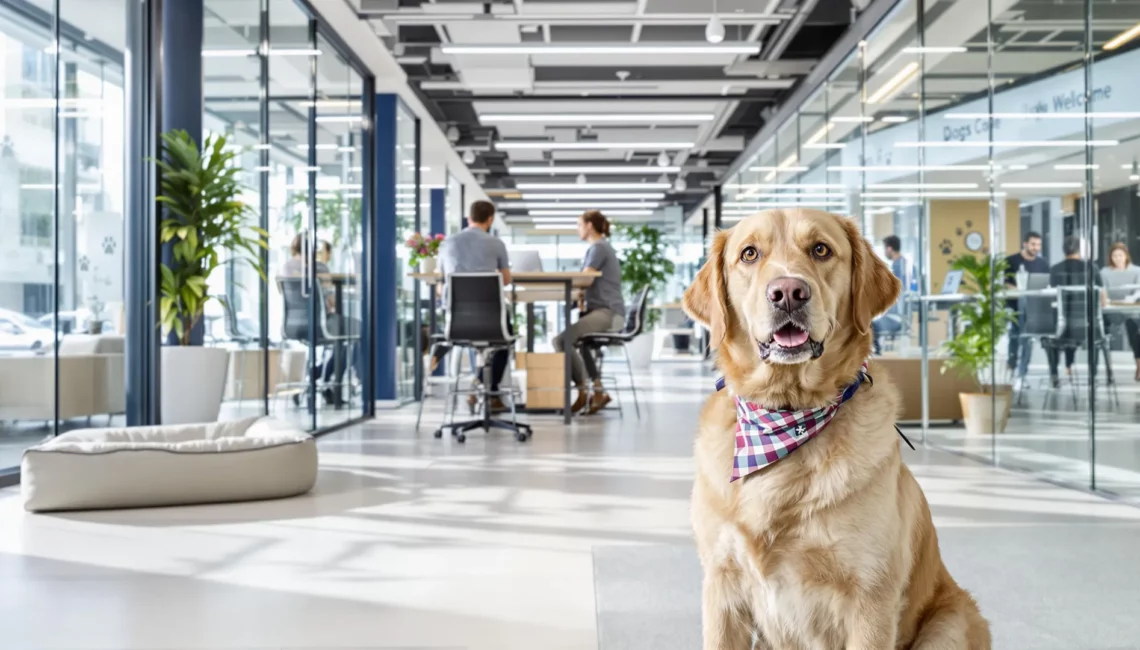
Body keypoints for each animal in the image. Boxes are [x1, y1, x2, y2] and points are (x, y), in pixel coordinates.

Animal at [684, 209, 989, 643]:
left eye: (821, 249)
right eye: (749, 254)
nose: (788, 292)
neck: (787, 418)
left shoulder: (871, 597)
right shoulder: (721, 587)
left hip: (951, 622)